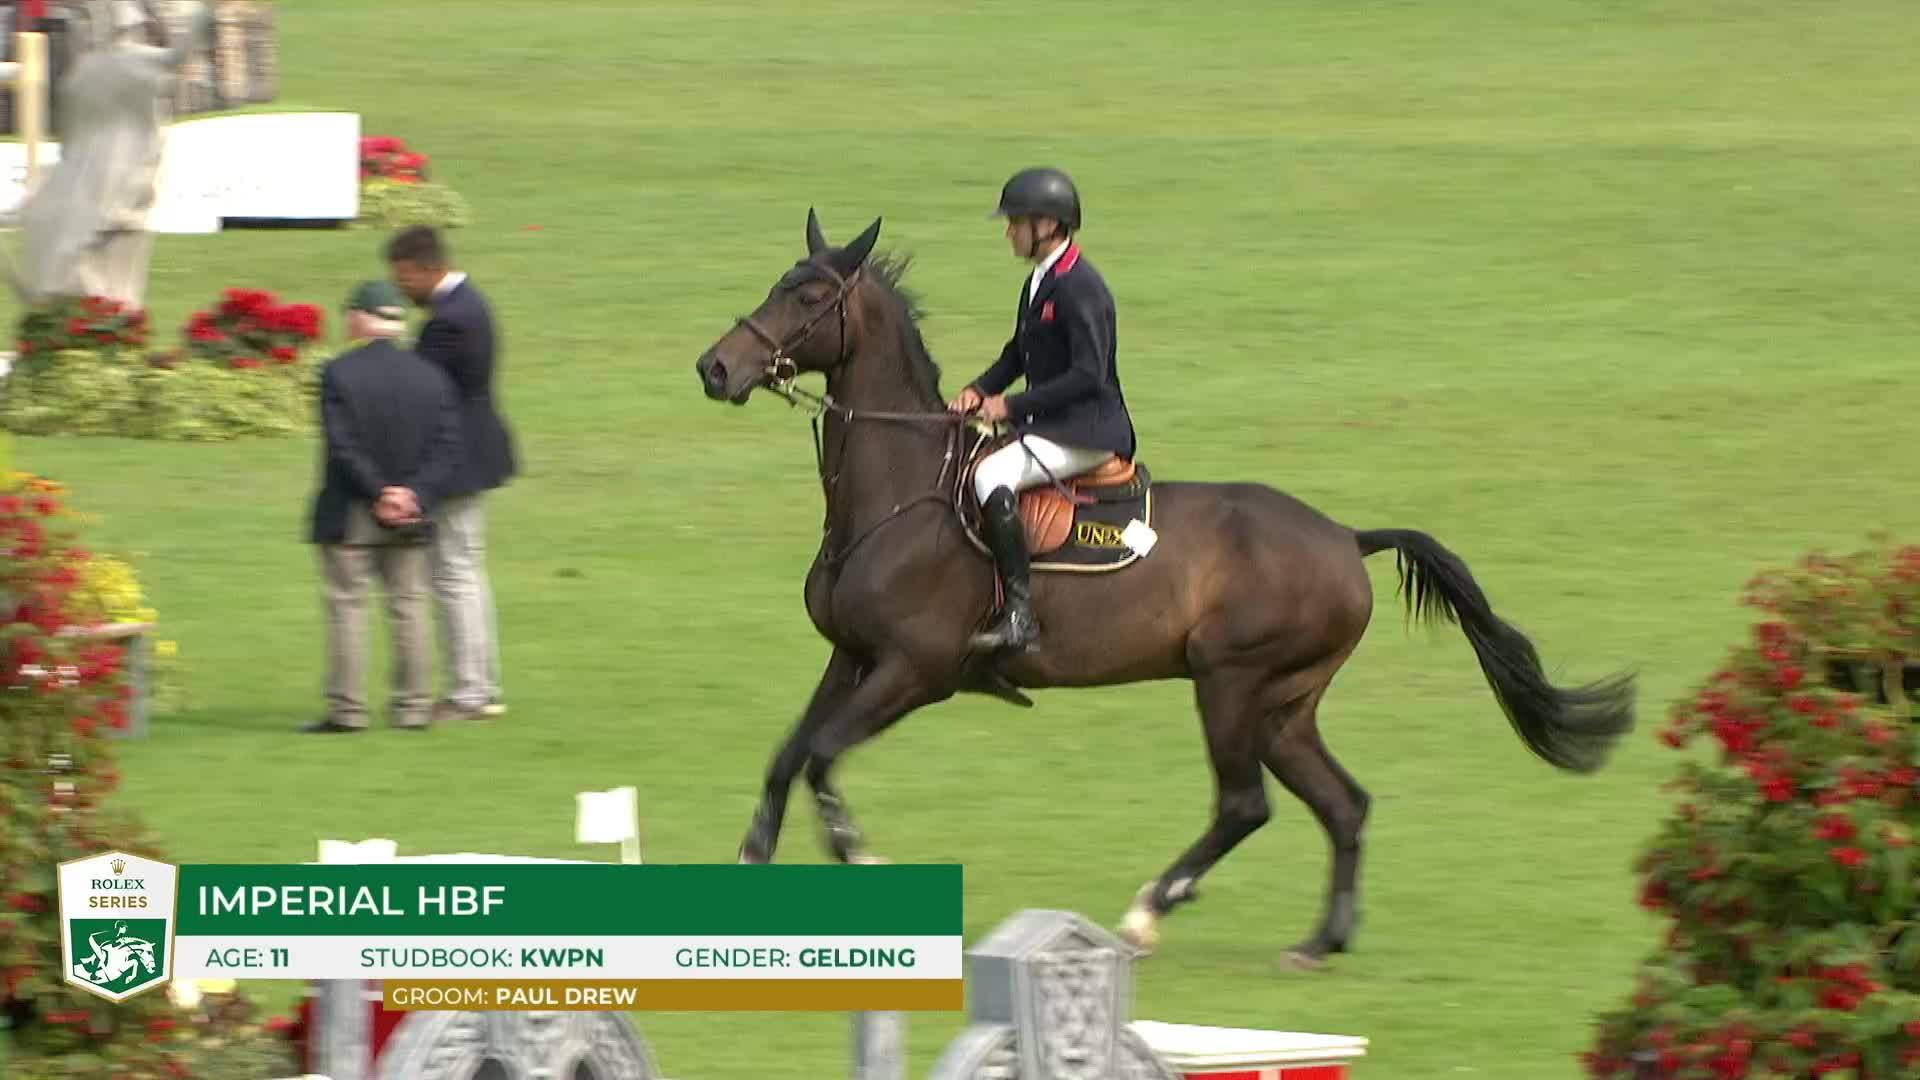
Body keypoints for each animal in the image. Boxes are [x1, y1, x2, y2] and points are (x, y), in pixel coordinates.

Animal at [692, 209, 1636, 968]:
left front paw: (860, 857)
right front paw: (749, 868)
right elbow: (787, 756)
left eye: (810, 298)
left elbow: (821, 755)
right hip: (1284, 704)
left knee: (1245, 804)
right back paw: (1319, 941)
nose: (715, 369)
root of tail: (1345, 538)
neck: (899, 492)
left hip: (1231, 681)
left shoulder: (915, 672)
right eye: (780, 285)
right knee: (1342, 804)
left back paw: (1150, 912)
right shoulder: (852, 656)